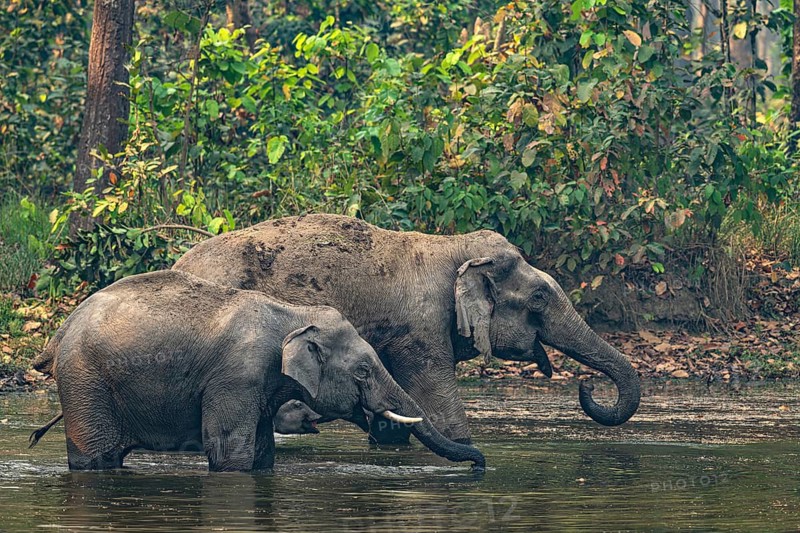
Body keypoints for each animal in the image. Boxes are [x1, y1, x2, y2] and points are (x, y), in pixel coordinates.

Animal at [30, 270, 485, 471]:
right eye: (362, 372)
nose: (480, 465)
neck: (293, 314)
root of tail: (61, 330)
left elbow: (264, 454)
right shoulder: (237, 377)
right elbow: (230, 453)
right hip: (85, 382)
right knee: (95, 458)